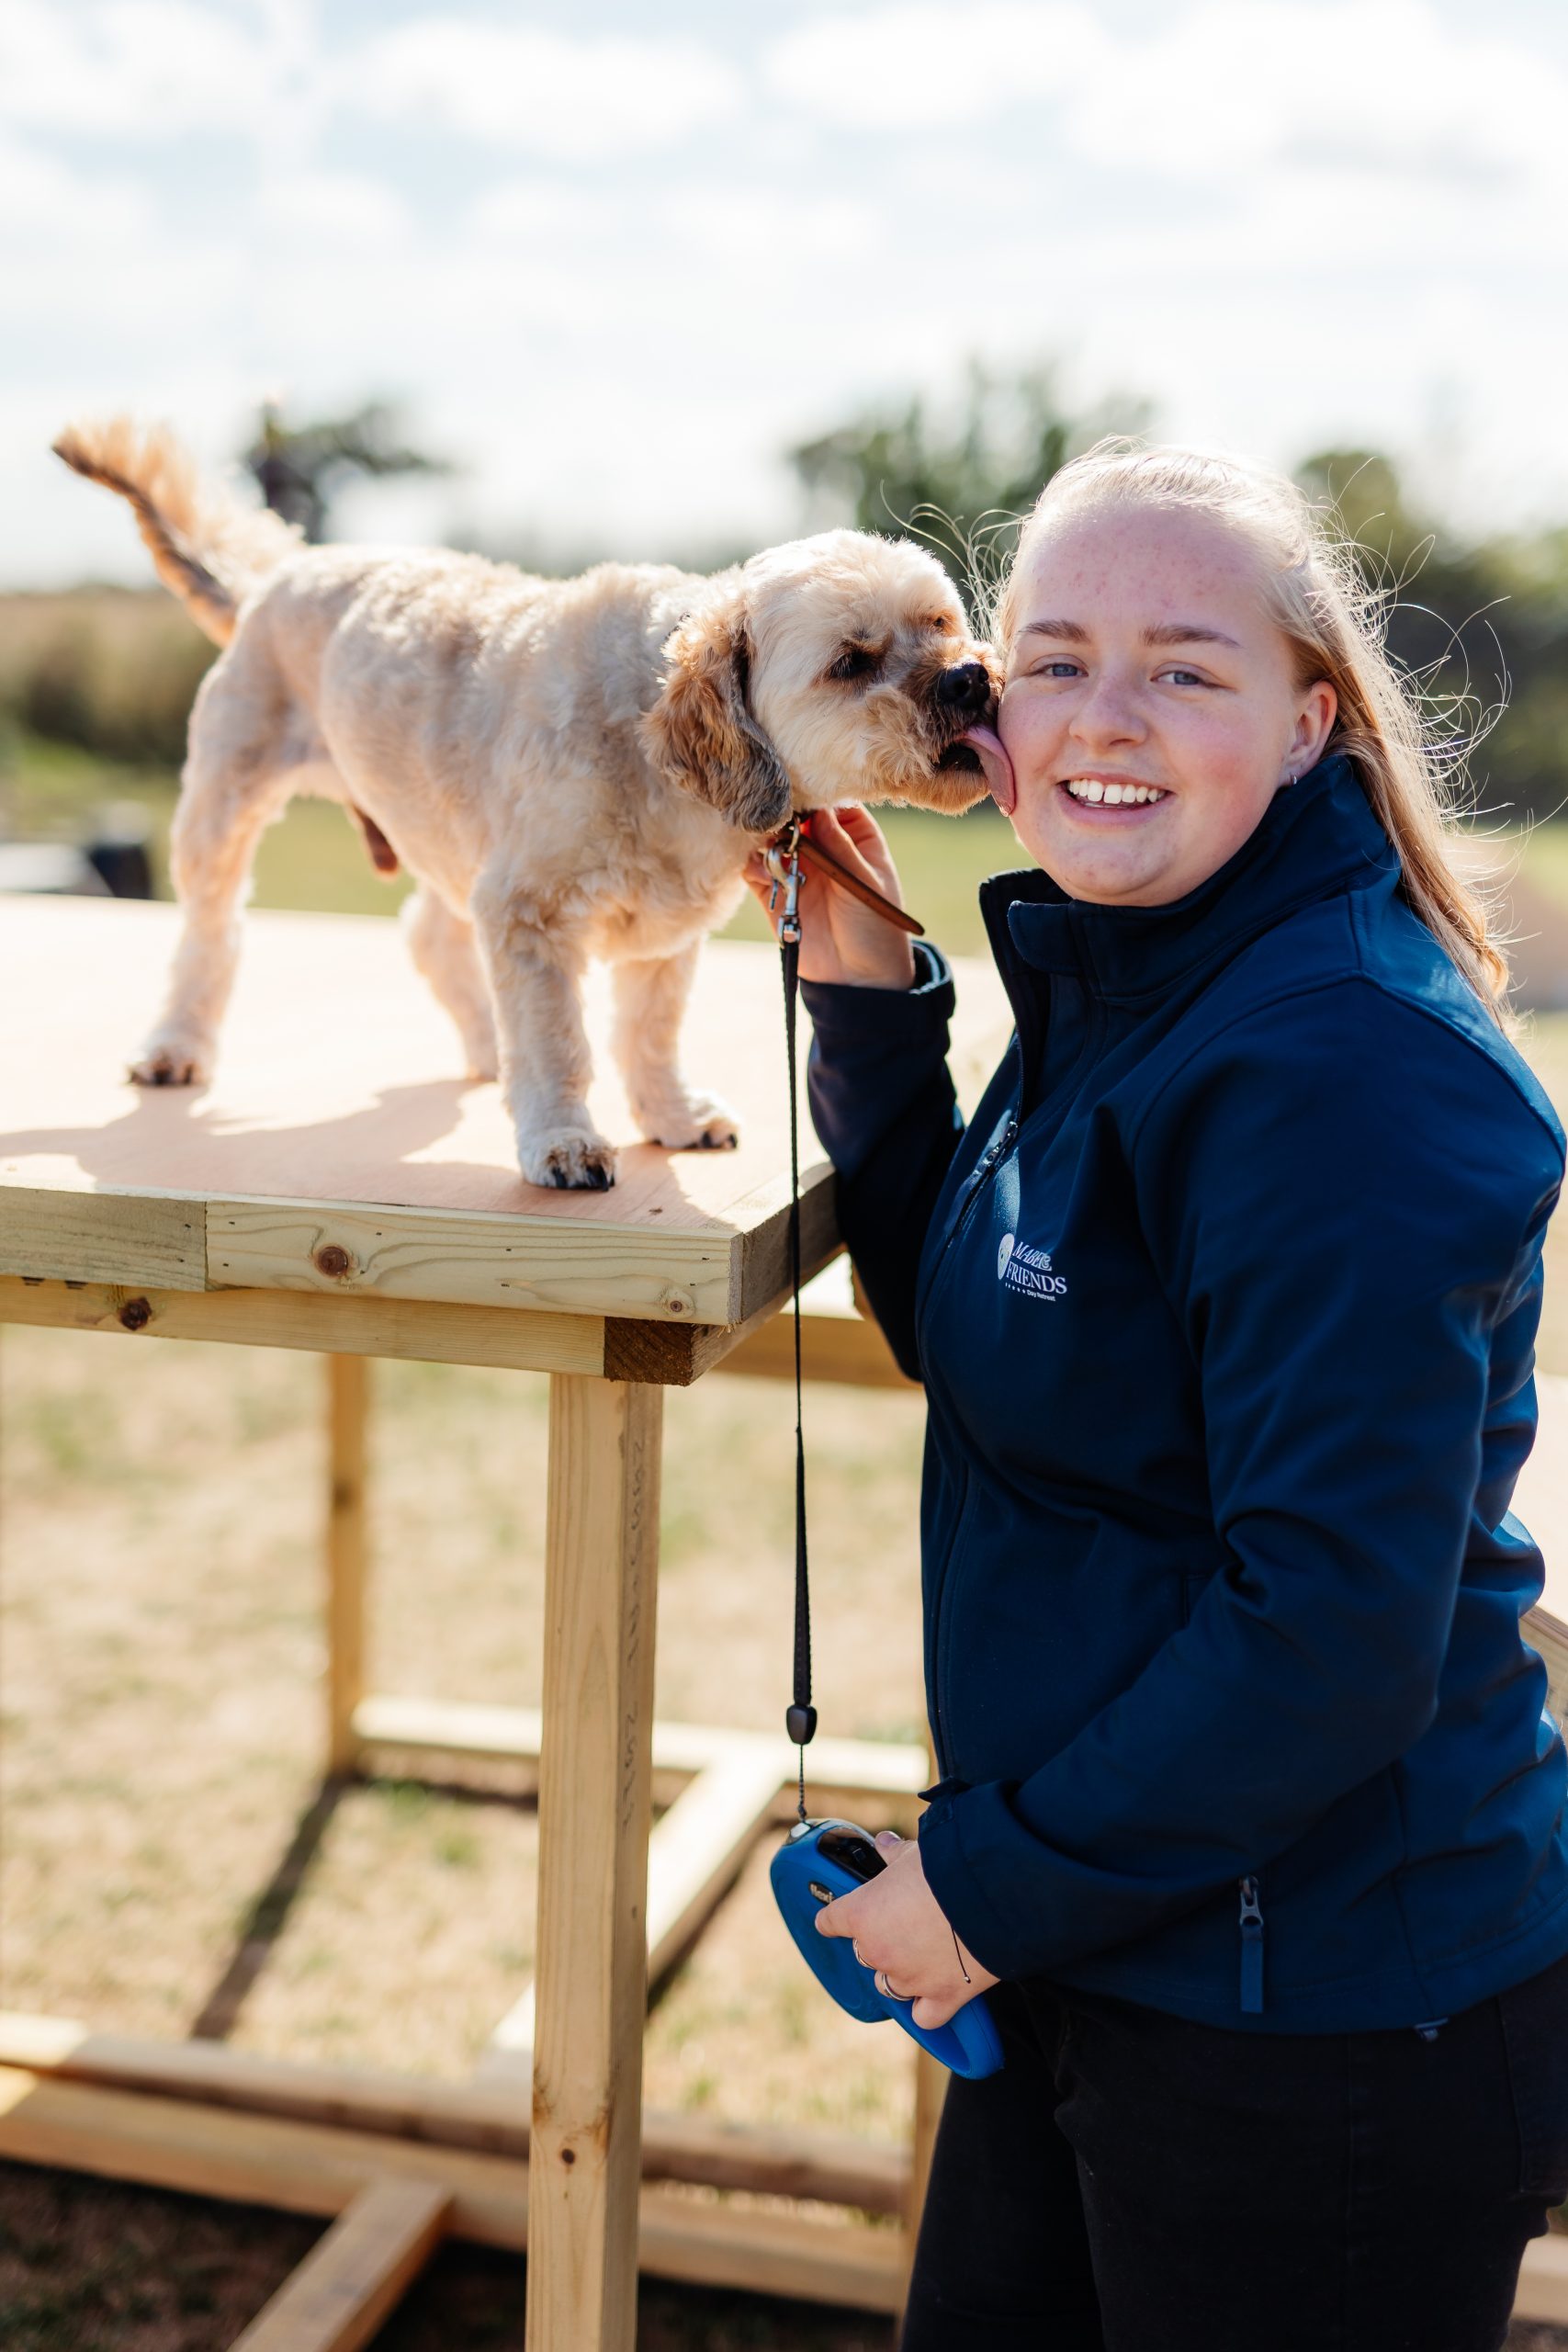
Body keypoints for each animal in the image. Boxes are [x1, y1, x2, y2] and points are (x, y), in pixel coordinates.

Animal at [58, 421, 1006, 1185]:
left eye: (939, 625)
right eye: (851, 662)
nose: (969, 678)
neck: (650, 739)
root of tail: (281, 571)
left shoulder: (658, 934)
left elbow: (649, 1035)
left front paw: (670, 1116)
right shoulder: (529, 911)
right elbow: (558, 1042)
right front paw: (560, 1139)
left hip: (442, 832)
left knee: (430, 934)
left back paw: (486, 1045)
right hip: (223, 810)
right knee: (210, 937)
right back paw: (176, 1047)